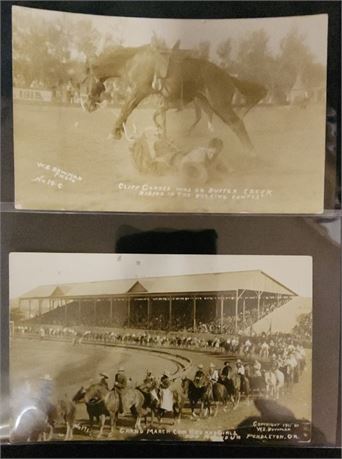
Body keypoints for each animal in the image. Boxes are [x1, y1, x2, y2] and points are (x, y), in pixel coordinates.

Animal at [79, 44, 268, 151]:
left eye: (84, 81)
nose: (87, 106)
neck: (133, 60)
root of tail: (228, 76)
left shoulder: (140, 91)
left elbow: (126, 109)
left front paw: (114, 133)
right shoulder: (156, 99)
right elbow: (147, 115)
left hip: (220, 105)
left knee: (237, 124)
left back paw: (250, 153)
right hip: (207, 103)